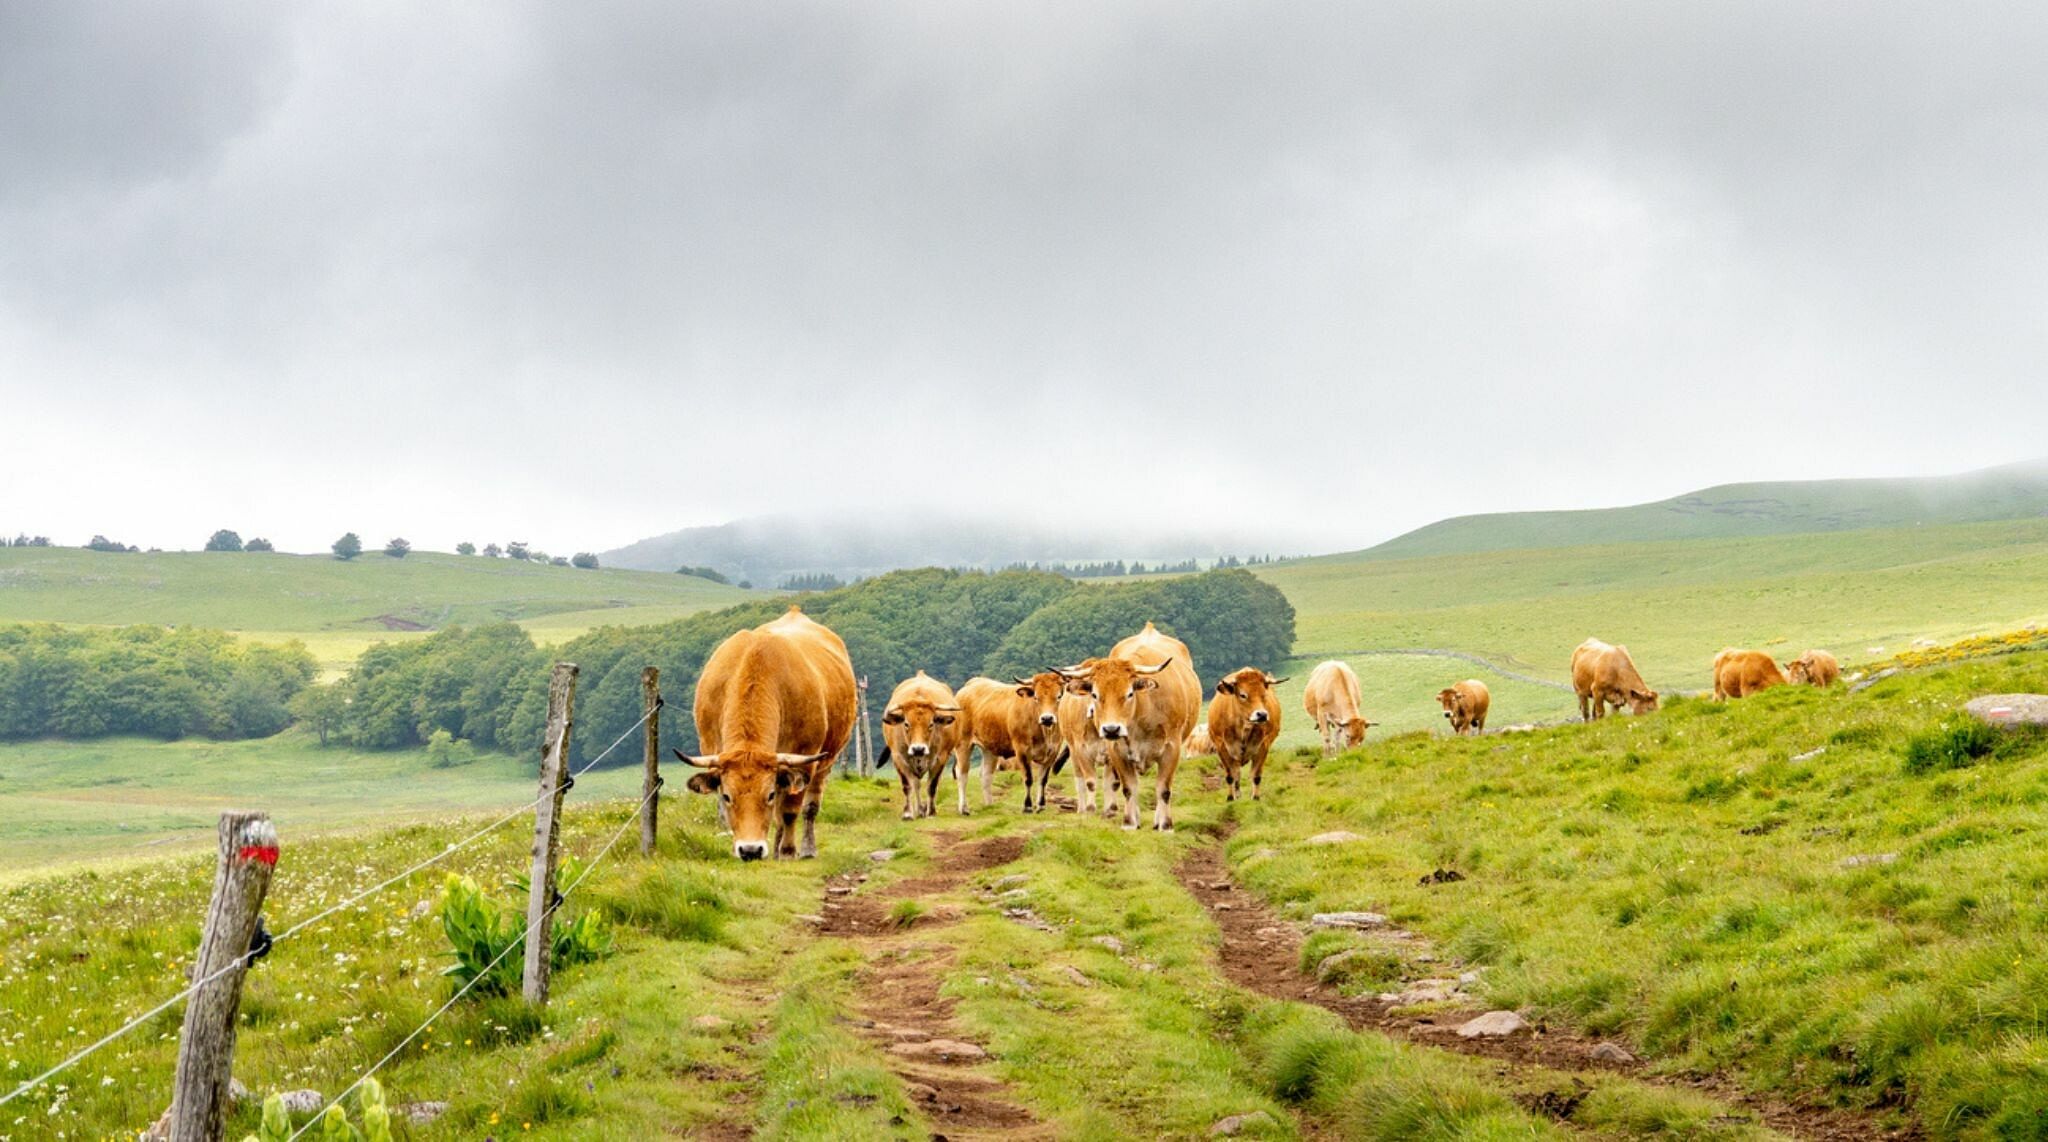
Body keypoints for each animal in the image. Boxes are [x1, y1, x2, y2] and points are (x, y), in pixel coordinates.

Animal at [679, 609, 856, 859]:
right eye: (727, 796)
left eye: (769, 794)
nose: (750, 850)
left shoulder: (804, 759)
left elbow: (789, 811)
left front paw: (788, 852)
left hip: (825, 763)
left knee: (807, 808)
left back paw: (805, 848)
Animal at [876, 671, 962, 822]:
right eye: (906, 724)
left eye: (931, 724)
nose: (918, 749)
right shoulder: (898, 757)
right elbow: (907, 786)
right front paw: (908, 813)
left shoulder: (941, 758)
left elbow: (932, 786)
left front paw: (931, 812)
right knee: (916, 784)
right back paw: (920, 810)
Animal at [950, 675, 1064, 818]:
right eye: (1036, 697)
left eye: (1059, 696)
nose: (1047, 718)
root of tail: (970, 685)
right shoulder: (1022, 750)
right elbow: (1028, 778)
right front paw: (1027, 807)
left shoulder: (1053, 752)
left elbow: (1043, 780)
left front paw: (1041, 806)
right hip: (963, 743)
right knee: (962, 774)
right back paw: (964, 808)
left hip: (989, 748)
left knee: (986, 774)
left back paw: (990, 805)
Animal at [1056, 626, 1196, 830]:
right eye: (1095, 694)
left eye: (1130, 693)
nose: (1111, 729)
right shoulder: (1111, 751)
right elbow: (1126, 787)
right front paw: (1129, 822)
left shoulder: (1172, 748)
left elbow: (1163, 789)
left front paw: (1165, 825)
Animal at [1196, 667, 1277, 802]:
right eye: (1243, 695)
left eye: (1264, 694)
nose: (1262, 715)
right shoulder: (1221, 747)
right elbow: (1230, 775)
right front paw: (1230, 797)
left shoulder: (1264, 746)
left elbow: (1256, 776)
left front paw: (1255, 797)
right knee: (1236, 773)